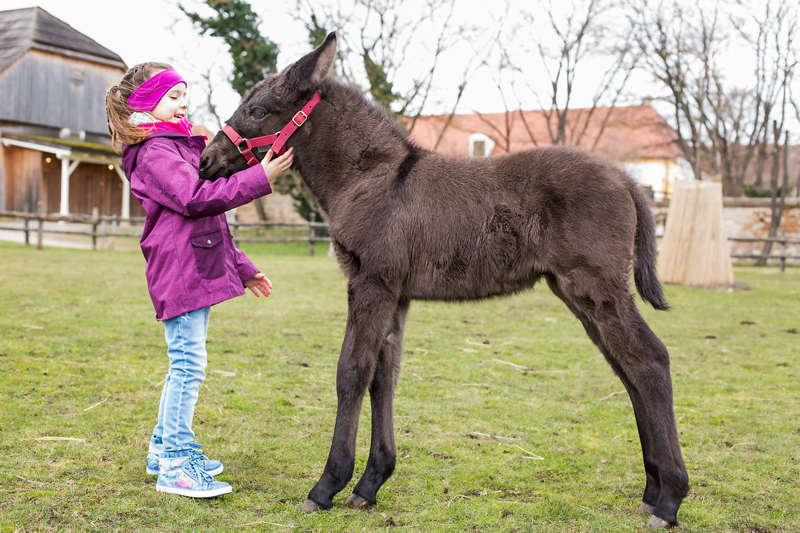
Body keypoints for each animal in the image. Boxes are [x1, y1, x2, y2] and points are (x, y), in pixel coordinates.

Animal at [198, 34, 688, 528]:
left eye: (258, 110)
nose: (205, 160)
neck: (370, 177)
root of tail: (627, 179)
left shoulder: (370, 284)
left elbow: (351, 372)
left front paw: (327, 485)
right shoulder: (395, 294)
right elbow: (384, 376)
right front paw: (370, 484)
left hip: (596, 288)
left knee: (650, 361)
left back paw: (669, 500)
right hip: (577, 292)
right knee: (628, 369)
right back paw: (652, 491)